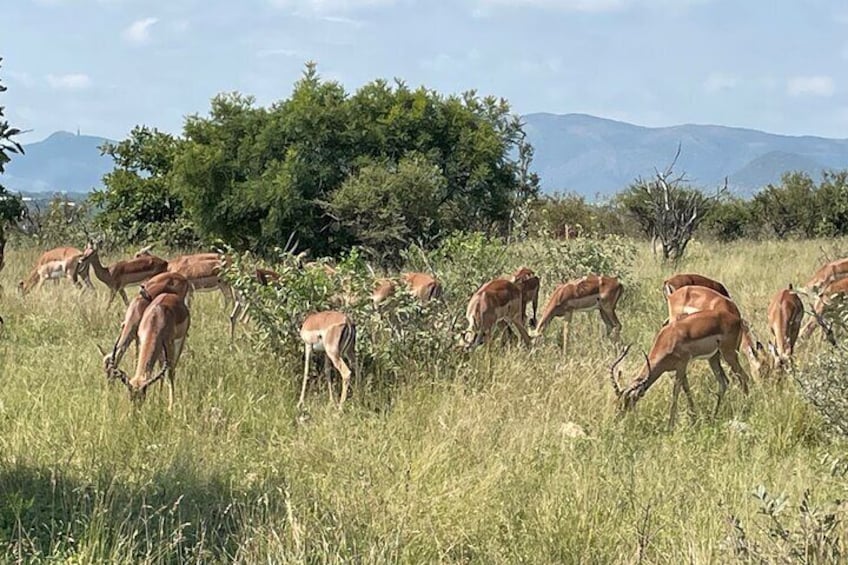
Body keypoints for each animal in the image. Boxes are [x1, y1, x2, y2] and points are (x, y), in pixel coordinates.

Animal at [608, 308, 752, 428]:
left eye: (629, 400)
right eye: (617, 400)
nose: (616, 419)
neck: (668, 339)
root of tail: (738, 320)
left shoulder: (682, 364)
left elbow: (676, 392)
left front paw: (670, 425)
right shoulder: (674, 370)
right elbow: (686, 389)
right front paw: (694, 417)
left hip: (729, 354)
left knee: (744, 377)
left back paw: (745, 409)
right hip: (713, 358)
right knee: (724, 382)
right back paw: (713, 416)